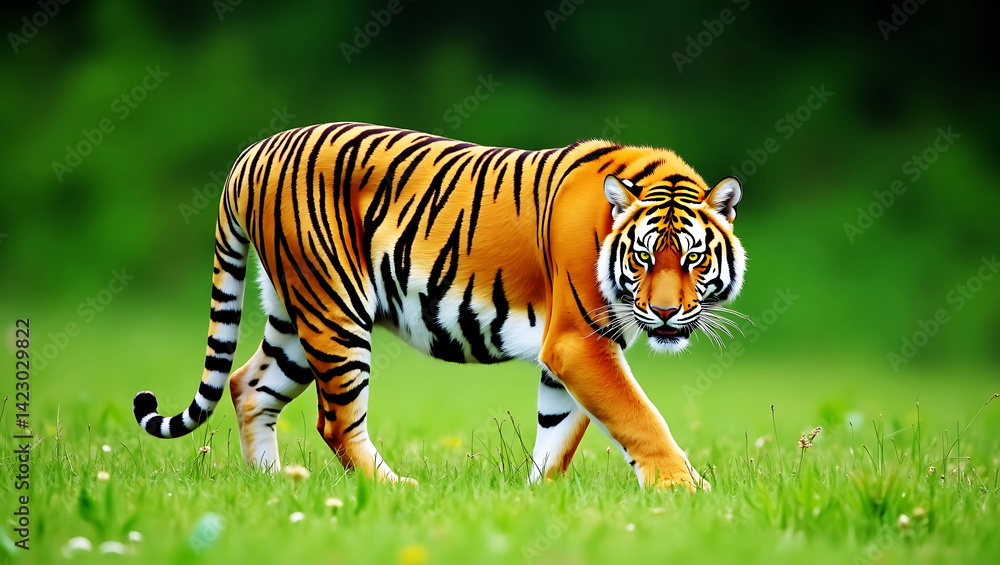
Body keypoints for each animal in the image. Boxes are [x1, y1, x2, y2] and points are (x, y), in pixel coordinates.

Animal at [133, 122, 746, 492]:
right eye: (643, 257)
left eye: (692, 258)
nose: (664, 315)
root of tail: (252, 153)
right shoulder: (580, 341)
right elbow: (639, 417)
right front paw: (686, 491)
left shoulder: (567, 353)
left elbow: (559, 432)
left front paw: (538, 498)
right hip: (336, 310)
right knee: (336, 420)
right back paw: (393, 490)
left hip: (294, 314)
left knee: (248, 386)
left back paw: (276, 483)